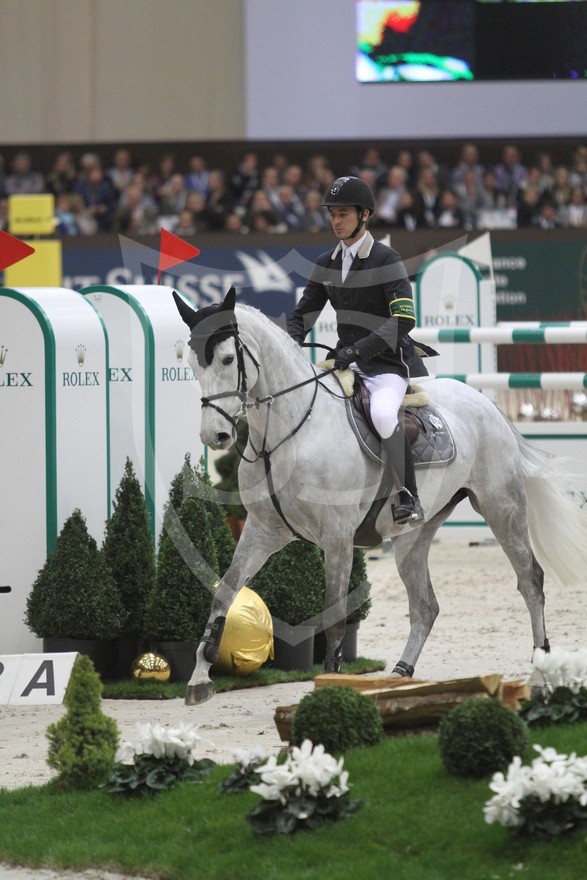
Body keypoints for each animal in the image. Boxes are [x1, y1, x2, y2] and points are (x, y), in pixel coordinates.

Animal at [174, 286, 587, 705]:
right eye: (193, 363)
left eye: (228, 358)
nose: (215, 437)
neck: (288, 435)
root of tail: (487, 403)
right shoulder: (263, 530)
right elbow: (224, 591)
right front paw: (200, 678)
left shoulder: (337, 538)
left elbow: (334, 616)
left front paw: (330, 689)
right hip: (414, 535)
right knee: (425, 605)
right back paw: (401, 674)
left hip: (502, 506)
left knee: (530, 581)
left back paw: (540, 671)